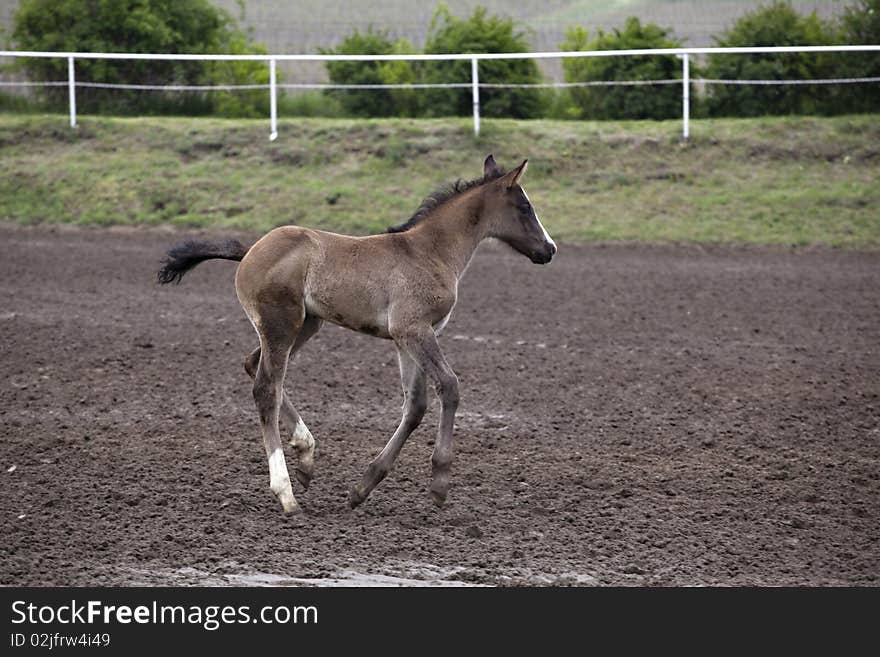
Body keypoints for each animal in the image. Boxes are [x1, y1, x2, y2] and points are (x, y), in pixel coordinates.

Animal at [156, 154, 556, 512]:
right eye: (524, 207)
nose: (549, 249)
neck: (428, 251)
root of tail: (252, 248)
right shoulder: (413, 329)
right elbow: (449, 386)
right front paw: (440, 482)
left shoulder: (405, 339)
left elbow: (416, 406)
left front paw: (363, 487)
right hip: (281, 324)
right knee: (267, 388)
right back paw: (286, 494)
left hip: (306, 324)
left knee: (255, 366)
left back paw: (306, 455)